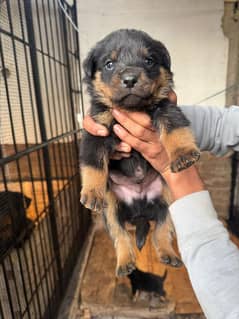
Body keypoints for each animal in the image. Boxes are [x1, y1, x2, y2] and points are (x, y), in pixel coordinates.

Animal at [80, 28, 200, 276]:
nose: (130, 79)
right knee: (120, 234)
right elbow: (93, 163)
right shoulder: (96, 129)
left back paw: (168, 254)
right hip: (111, 207)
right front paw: (91, 191)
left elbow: (176, 131)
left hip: (168, 198)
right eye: (109, 64)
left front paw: (184, 155)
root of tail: (141, 210)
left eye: (149, 61)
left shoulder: (166, 108)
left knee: (162, 228)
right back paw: (125, 261)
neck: (132, 109)